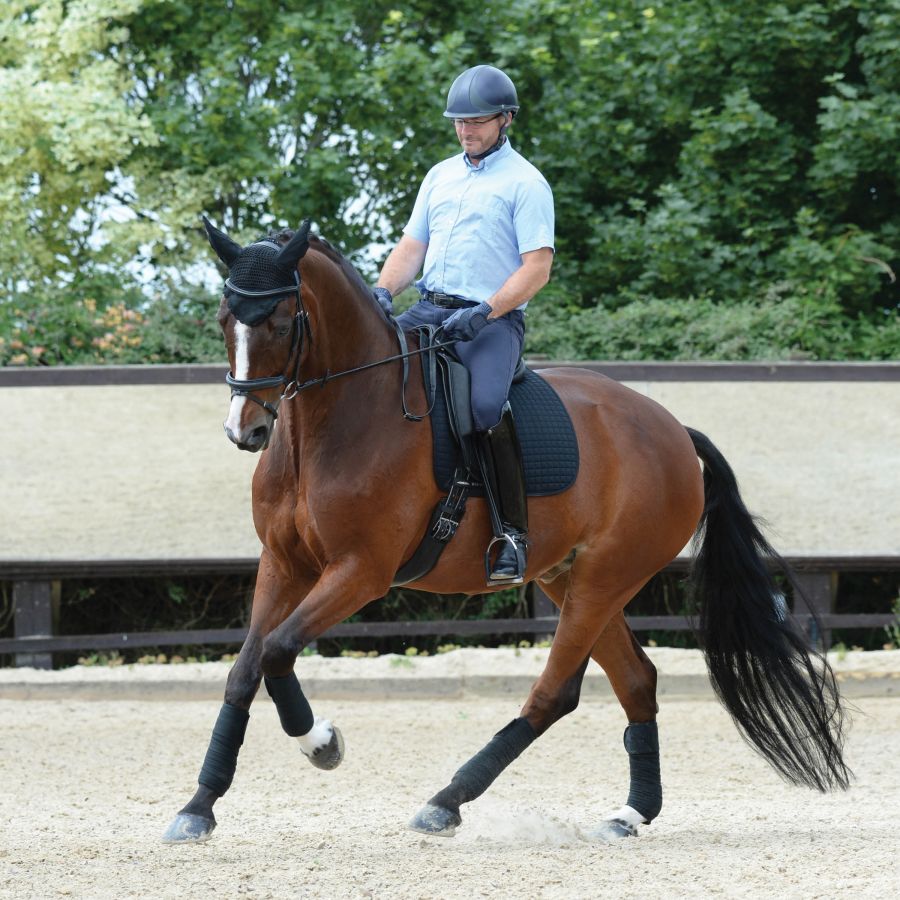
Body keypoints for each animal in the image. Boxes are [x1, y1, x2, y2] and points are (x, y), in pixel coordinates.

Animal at [163, 218, 852, 844]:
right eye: (225, 319)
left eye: (281, 322)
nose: (246, 430)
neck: (335, 421)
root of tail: (675, 431)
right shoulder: (283, 564)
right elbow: (245, 669)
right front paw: (199, 807)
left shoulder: (360, 571)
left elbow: (278, 650)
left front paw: (322, 744)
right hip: (569, 578)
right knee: (635, 681)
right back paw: (630, 814)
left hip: (604, 577)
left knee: (554, 694)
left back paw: (446, 802)